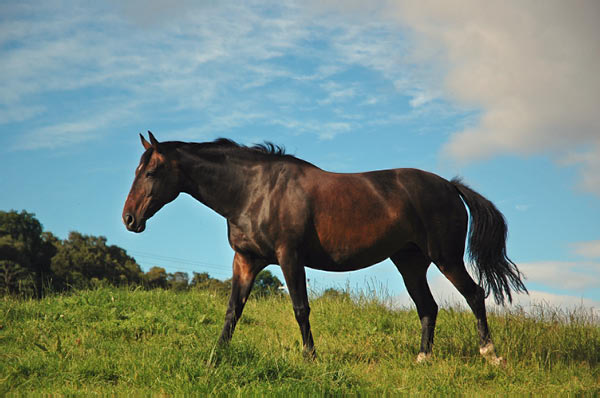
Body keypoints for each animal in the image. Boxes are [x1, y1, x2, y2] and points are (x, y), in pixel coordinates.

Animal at [122, 131, 524, 364]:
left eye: (151, 172)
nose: (129, 219)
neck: (253, 191)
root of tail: (450, 186)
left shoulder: (289, 257)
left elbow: (301, 309)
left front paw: (311, 358)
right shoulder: (246, 261)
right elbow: (233, 310)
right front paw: (215, 357)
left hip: (446, 258)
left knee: (475, 295)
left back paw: (490, 355)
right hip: (410, 263)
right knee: (428, 307)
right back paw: (422, 360)